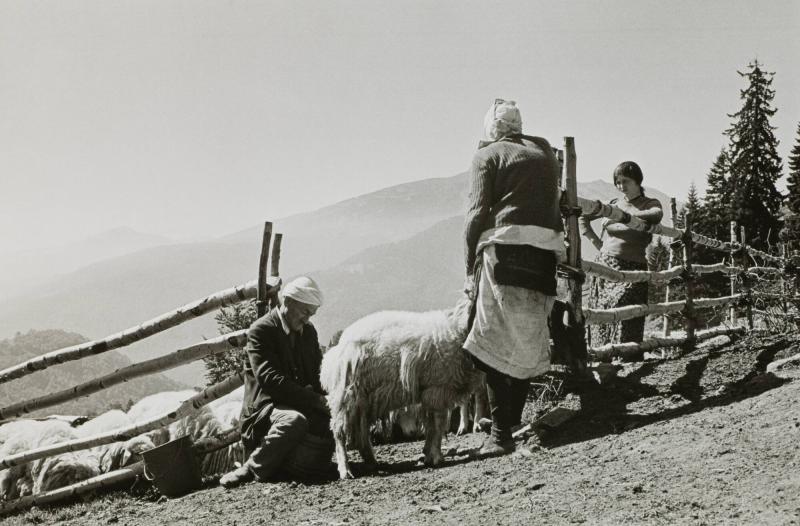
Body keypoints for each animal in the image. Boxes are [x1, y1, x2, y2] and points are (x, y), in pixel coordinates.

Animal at [320, 300, 484, 480]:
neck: (457, 330)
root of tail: (336, 350)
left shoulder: (431, 394)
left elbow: (432, 426)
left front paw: (428, 454)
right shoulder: (436, 389)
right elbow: (438, 424)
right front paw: (436, 456)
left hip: (363, 400)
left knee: (361, 433)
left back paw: (372, 462)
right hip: (345, 396)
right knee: (339, 433)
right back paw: (345, 470)